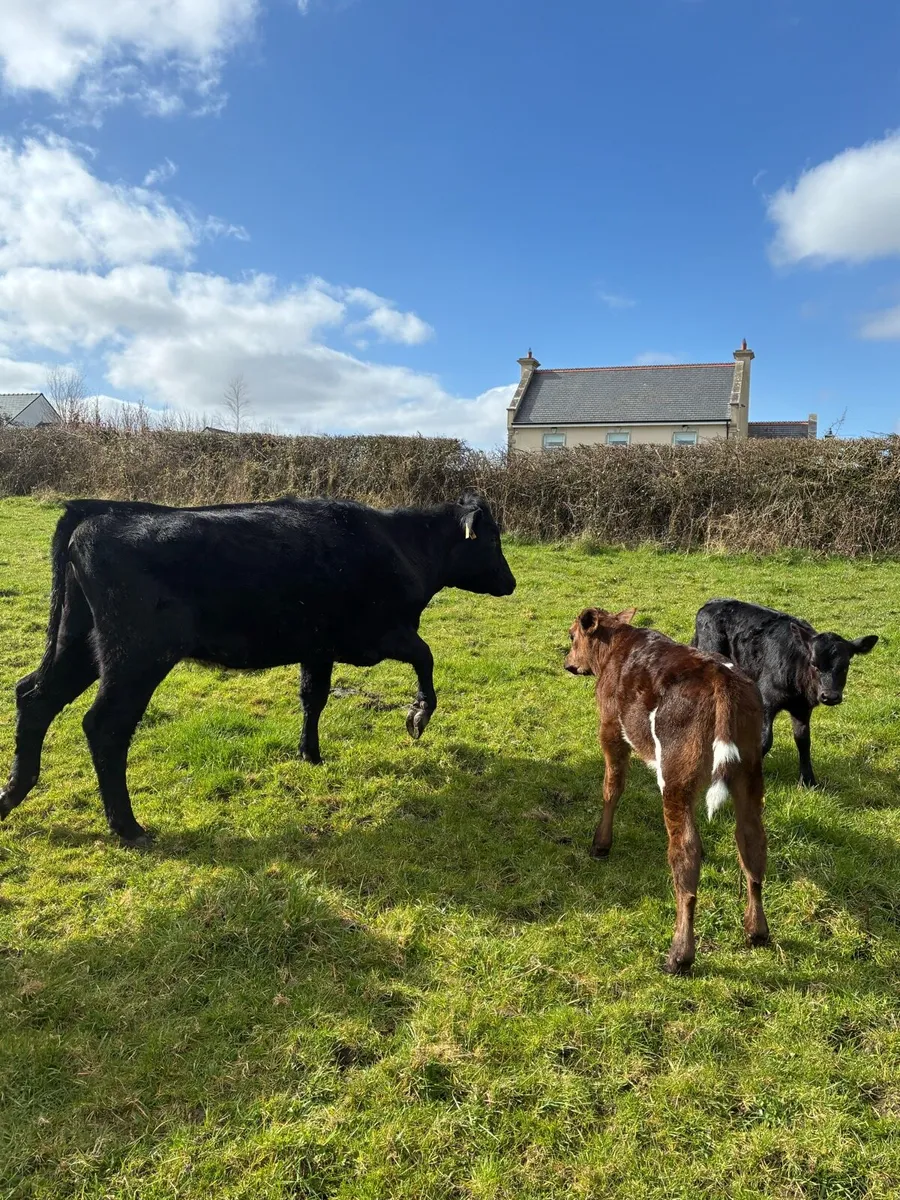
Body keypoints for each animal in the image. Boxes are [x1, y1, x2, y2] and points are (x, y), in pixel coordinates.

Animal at [0, 492, 515, 847]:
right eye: (492, 539)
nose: (511, 582)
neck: (403, 547)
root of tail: (96, 511)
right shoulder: (380, 635)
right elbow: (426, 658)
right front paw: (418, 716)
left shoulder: (318, 645)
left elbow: (314, 696)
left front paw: (310, 754)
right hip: (137, 654)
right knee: (104, 725)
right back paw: (127, 827)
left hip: (79, 641)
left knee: (34, 696)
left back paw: (12, 794)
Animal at [565, 607, 769, 974]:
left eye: (572, 635)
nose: (567, 662)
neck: (616, 646)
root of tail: (720, 678)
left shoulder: (610, 728)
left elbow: (612, 786)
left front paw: (601, 843)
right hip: (749, 772)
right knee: (752, 841)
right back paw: (756, 930)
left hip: (676, 777)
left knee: (685, 854)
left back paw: (680, 954)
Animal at [691, 599, 878, 787]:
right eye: (814, 664)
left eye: (845, 666)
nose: (830, 696)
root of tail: (711, 603)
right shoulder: (767, 700)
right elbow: (765, 740)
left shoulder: (802, 708)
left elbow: (803, 740)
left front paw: (808, 781)